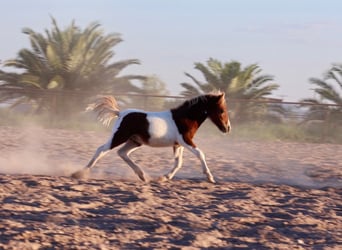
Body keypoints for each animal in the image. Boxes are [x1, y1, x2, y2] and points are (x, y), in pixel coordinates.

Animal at [71, 91, 232, 183]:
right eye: (222, 110)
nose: (228, 128)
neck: (183, 118)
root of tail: (120, 113)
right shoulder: (185, 141)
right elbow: (200, 154)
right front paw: (210, 178)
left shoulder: (177, 144)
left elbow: (178, 162)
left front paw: (164, 178)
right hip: (119, 136)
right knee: (102, 150)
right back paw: (79, 173)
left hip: (135, 141)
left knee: (122, 152)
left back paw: (142, 175)